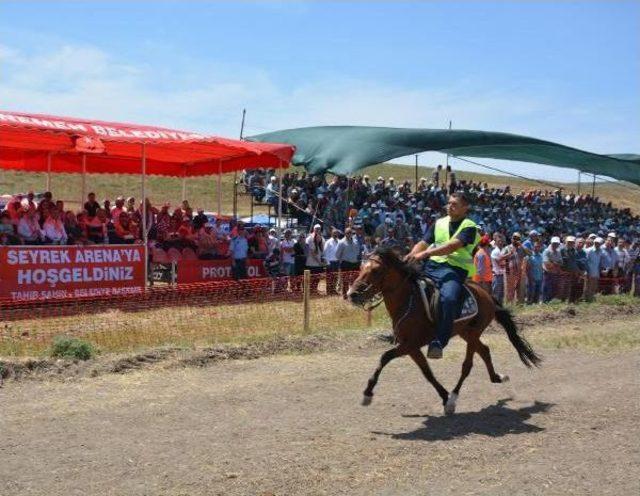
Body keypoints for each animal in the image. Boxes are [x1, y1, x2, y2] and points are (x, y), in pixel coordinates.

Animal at [344, 247, 540, 414]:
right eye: (361, 268)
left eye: (376, 271)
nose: (352, 294)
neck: (408, 301)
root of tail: (486, 294)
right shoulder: (411, 347)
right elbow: (427, 373)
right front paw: (443, 396)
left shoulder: (409, 344)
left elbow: (385, 357)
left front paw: (367, 393)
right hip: (465, 332)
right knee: (484, 350)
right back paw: (497, 377)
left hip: (473, 333)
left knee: (467, 365)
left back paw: (454, 397)